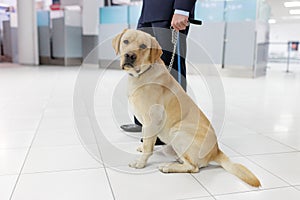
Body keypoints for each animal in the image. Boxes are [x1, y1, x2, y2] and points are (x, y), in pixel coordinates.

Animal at [112, 28, 260, 188]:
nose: (130, 56)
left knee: (193, 167)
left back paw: (168, 166)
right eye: (126, 41)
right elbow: (146, 140)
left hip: (177, 132)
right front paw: (141, 148)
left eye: (143, 46)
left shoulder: (152, 120)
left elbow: (147, 147)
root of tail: (216, 151)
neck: (142, 74)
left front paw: (140, 163)